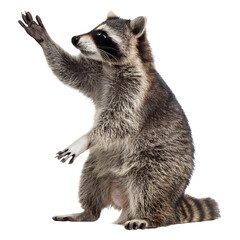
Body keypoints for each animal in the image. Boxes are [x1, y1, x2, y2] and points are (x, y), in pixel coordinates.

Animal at [18, 11, 220, 231]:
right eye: (94, 29)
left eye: (102, 35)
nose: (74, 38)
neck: (111, 66)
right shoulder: (96, 74)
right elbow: (69, 70)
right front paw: (43, 38)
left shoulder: (135, 90)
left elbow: (120, 122)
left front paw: (83, 140)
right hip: (101, 162)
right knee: (90, 177)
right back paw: (88, 212)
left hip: (162, 162)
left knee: (149, 184)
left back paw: (151, 218)